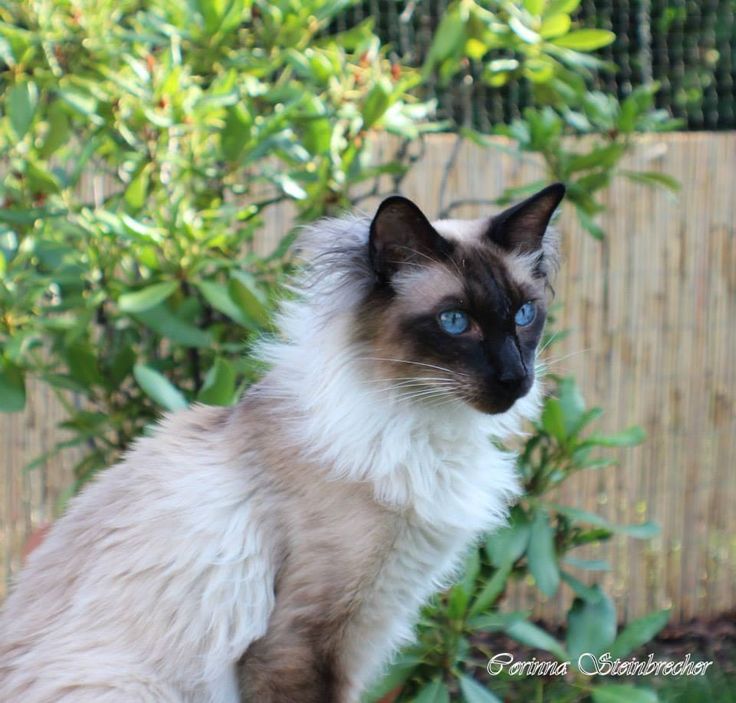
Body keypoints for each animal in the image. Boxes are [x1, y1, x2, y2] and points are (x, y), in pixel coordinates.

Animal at [0, 183, 564, 703]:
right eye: (455, 321)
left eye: (523, 315)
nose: (517, 379)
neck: (426, 425)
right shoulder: (301, 641)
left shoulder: (368, 628)